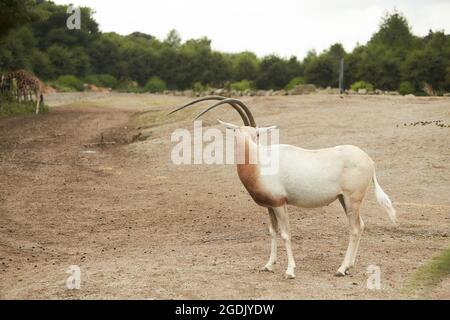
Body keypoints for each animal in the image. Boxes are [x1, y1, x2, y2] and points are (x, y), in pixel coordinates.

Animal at [170, 96, 398, 278]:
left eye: (258, 134)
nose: (259, 140)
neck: (258, 162)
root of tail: (369, 160)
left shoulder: (280, 203)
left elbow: (286, 234)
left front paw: (289, 271)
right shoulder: (270, 205)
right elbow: (272, 232)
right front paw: (268, 265)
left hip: (352, 199)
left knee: (354, 228)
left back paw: (341, 269)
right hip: (344, 199)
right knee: (361, 225)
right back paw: (349, 266)